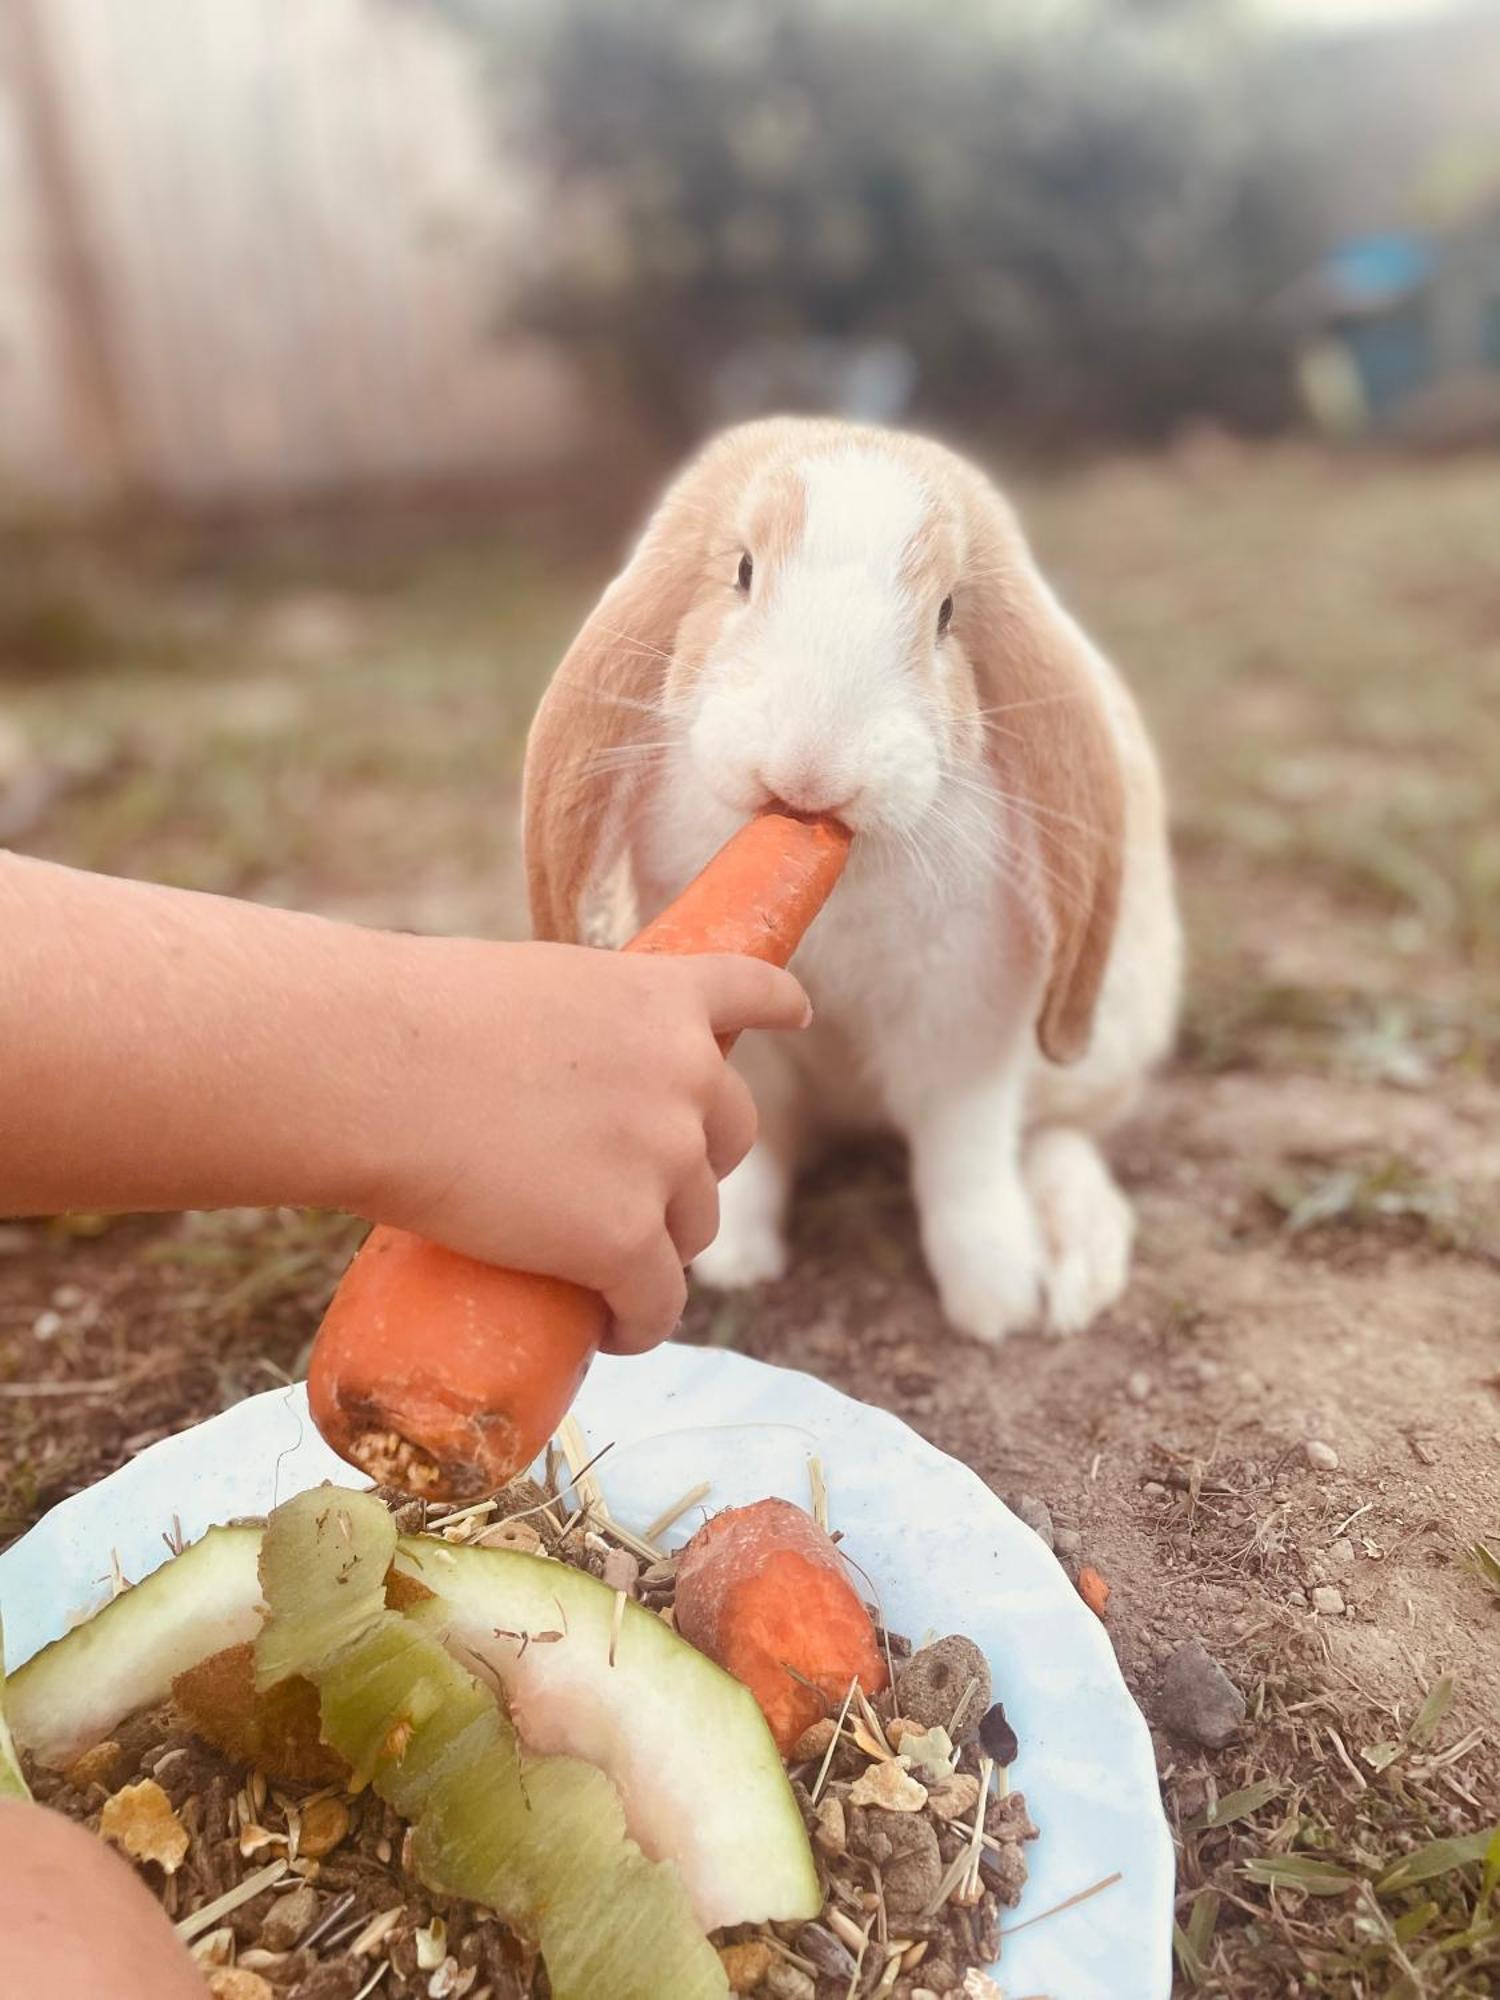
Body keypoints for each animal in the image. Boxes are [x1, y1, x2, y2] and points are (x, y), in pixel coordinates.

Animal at [528, 414, 1184, 1336]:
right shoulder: (746, 1048)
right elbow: (757, 1139)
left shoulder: (966, 1024)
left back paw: (1070, 1252)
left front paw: (997, 1300)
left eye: (947, 613)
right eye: (742, 571)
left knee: (1055, 1136)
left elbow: (962, 1155)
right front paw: (733, 1261)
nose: (813, 767)